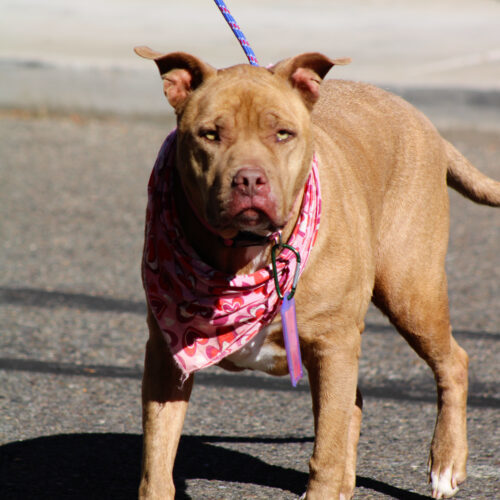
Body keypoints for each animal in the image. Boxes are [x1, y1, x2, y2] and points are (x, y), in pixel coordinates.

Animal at [133, 45, 500, 498]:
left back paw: (446, 463)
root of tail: (423, 122)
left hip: (411, 291)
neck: (248, 252)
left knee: (452, 363)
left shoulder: (333, 345)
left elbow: (325, 449)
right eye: (210, 134)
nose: (249, 179)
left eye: (282, 134)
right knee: (354, 405)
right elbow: (156, 459)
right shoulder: (165, 358)